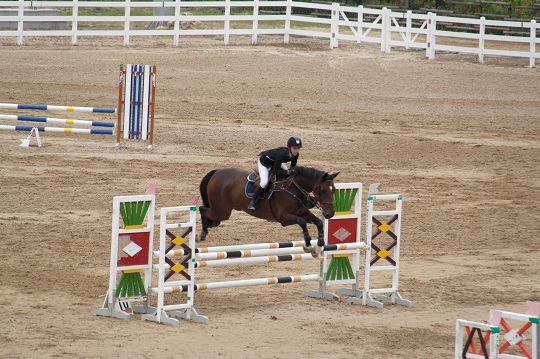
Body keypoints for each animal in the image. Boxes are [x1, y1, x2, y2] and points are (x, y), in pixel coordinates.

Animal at [198, 167, 340, 258]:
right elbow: (302, 222)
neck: (293, 189)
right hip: (222, 212)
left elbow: (318, 222)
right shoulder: (284, 218)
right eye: (323, 190)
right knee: (201, 209)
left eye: (334, 190)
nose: (330, 214)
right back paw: (203, 234)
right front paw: (308, 244)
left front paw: (318, 246)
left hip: (222, 211)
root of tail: (217, 172)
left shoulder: (302, 212)